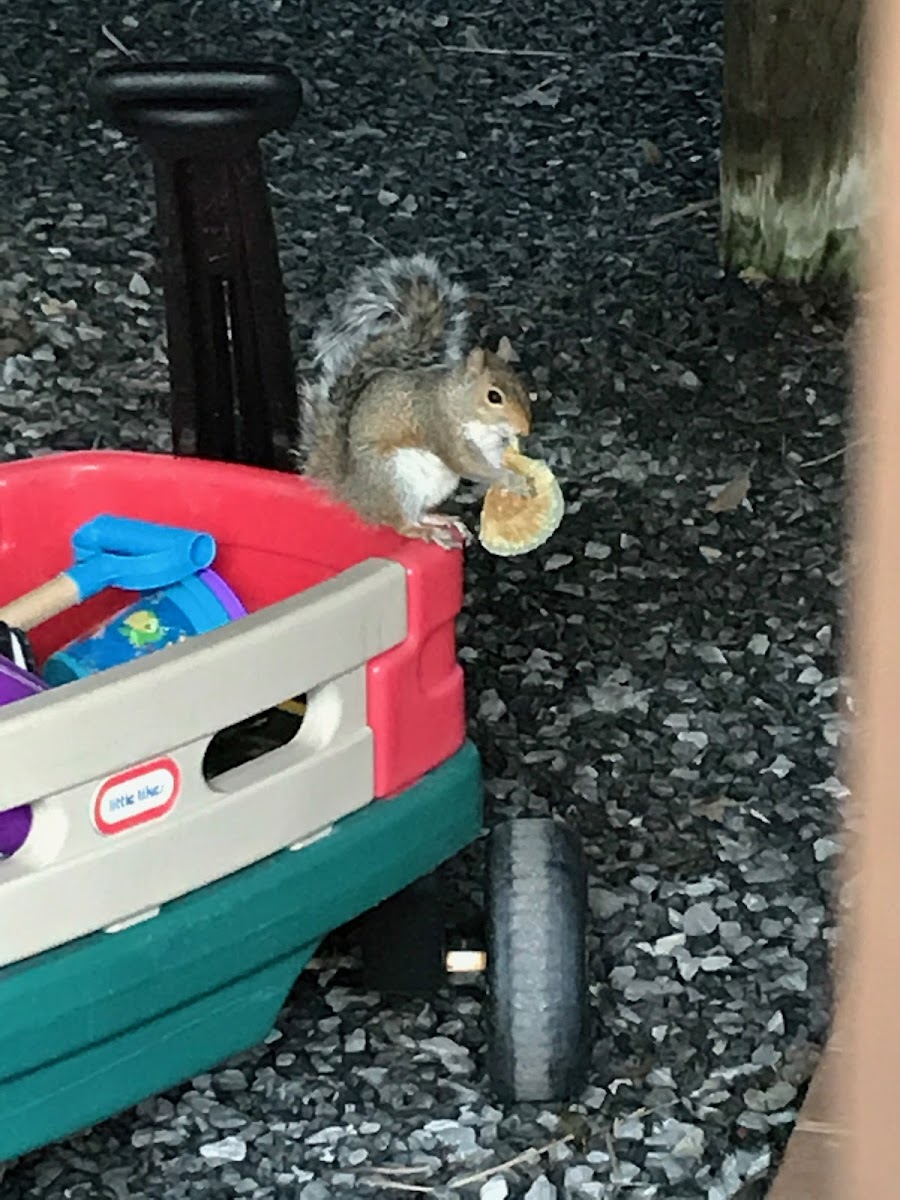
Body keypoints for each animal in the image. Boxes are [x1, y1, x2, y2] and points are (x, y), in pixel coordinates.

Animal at [300, 256, 535, 552]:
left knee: (417, 514)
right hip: (393, 478)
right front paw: (511, 480)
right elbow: (469, 465)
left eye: (522, 386)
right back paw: (427, 532)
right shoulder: (440, 428)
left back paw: (441, 521)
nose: (525, 429)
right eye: (494, 396)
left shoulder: (490, 446)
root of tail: (354, 493)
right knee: (401, 523)